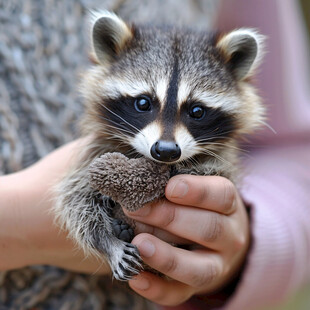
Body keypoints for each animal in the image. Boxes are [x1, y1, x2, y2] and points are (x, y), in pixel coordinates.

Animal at [53, 10, 264, 280]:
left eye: (197, 111)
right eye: (143, 103)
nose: (166, 151)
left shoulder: (223, 160)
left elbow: (217, 172)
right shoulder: (95, 152)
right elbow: (76, 200)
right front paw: (107, 243)